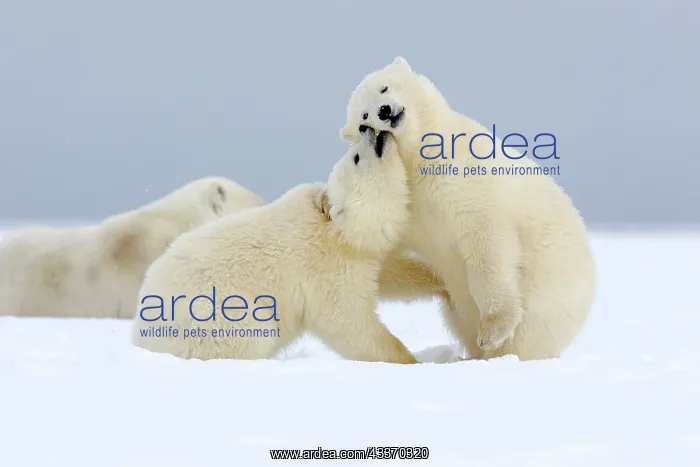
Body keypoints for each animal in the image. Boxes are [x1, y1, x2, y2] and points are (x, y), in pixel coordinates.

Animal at [130, 129, 445, 363]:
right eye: (356, 156)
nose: (372, 130)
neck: (337, 231)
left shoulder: (360, 253)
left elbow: (389, 274)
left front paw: (439, 282)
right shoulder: (322, 265)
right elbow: (345, 320)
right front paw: (410, 361)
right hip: (214, 317)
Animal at [338, 57, 597, 361]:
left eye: (384, 87)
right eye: (363, 120)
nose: (384, 111)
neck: (423, 160)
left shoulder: (469, 180)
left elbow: (487, 245)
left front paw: (492, 331)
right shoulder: (406, 207)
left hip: (549, 296)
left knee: (528, 337)